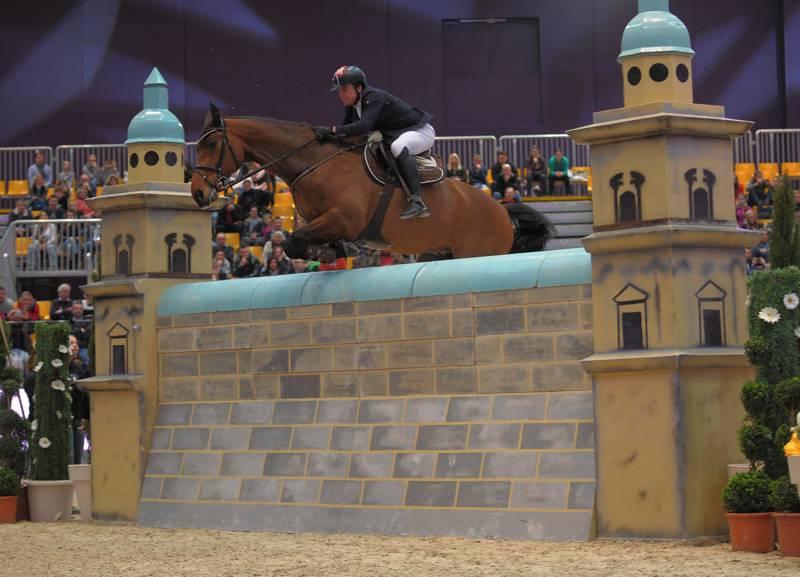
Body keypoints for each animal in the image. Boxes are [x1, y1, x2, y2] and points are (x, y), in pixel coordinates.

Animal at [191, 103, 552, 258]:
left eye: (212, 143)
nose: (197, 193)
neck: (312, 163)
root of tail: (502, 211)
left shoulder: (344, 218)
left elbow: (295, 240)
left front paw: (330, 252)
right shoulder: (323, 221)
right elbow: (298, 242)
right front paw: (332, 251)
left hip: (476, 253)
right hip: (436, 253)